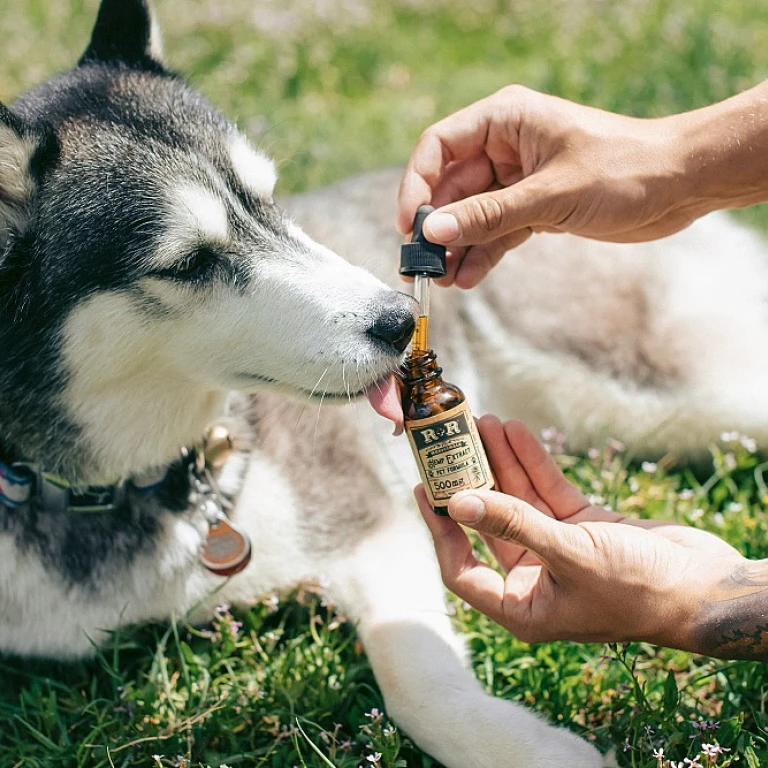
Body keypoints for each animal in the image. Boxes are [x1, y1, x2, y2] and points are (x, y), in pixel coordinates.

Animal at [0, 0, 764, 764]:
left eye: (271, 200)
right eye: (189, 262)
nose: (399, 321)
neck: (127, 487)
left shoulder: (371, 521)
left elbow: (417, 680)